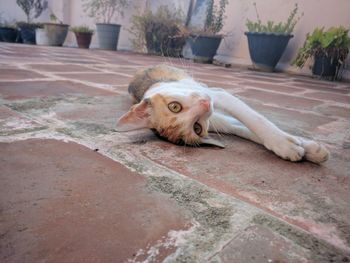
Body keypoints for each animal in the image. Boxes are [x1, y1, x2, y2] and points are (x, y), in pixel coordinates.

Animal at [116, 64, 330, 164]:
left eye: (174, 106)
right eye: (197, 127)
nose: (205, 103)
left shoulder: (217, 95)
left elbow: (254, 118)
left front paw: (287, 142)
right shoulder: (220, 122)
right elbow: (244, 129)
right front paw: (299, 147)